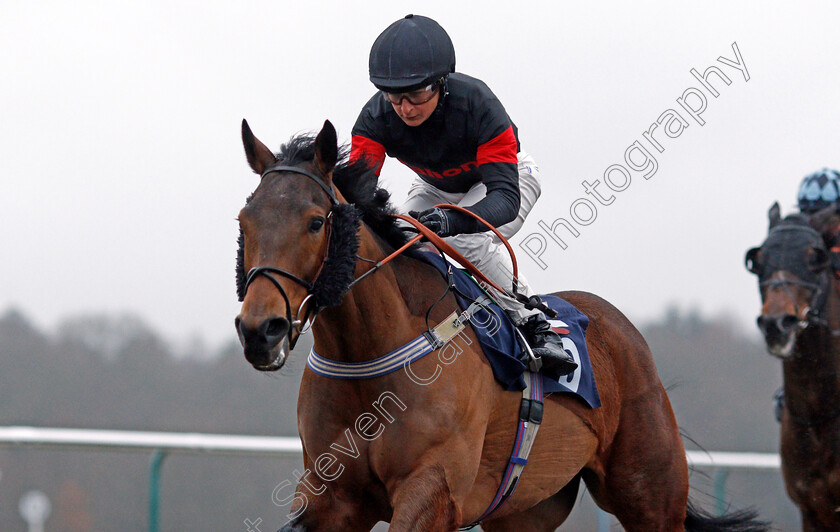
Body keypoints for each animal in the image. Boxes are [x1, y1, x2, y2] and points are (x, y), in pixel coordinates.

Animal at [236, 120, 768, 532]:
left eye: (315, 222)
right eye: (244, 220)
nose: (261, 330)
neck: (368, 358)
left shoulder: (434, 490)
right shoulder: (329, 496)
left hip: (650, 493)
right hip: (527, 507)